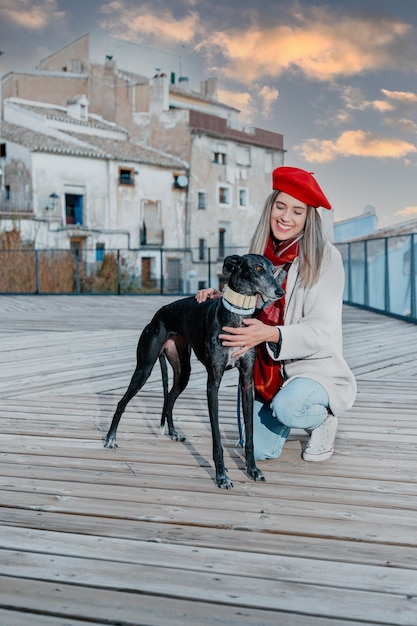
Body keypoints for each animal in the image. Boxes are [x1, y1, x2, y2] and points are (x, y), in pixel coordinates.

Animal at [104, 254, 282, 488]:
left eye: (273, 270)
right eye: (258, 268)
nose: (280, 292)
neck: (235, 315)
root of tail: (159, 314)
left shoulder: (246, 382)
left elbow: (250, 435)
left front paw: (252, 469)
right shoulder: (213, 383)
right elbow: (216, 437)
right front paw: (221, 475)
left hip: (183, 372)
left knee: (169, 400)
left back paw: (172, 432)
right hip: (144, 368)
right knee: (121, 403)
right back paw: (110, 438)